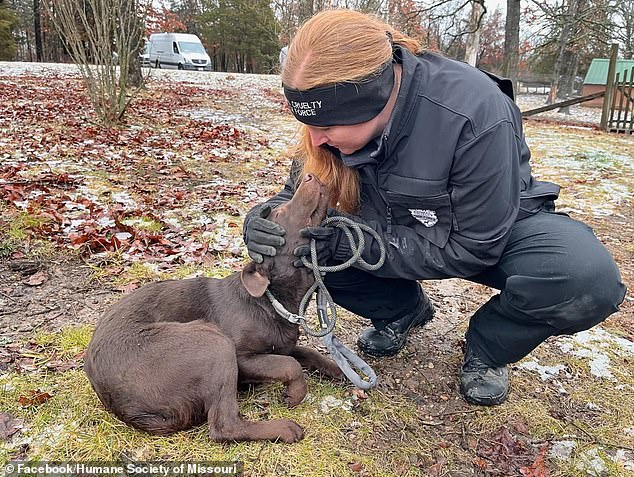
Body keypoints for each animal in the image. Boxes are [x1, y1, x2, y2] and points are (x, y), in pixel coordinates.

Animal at [85, 175, 340, 442]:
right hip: (214, 343)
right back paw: (284, 429)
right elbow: (289, 364)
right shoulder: (242, 359)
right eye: (280, 212)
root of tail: (122, 409)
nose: (310, 176)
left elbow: (306, 353)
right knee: (224, 425)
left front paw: (340, 370)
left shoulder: (283, 345)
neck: (270, 301)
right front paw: (295, 393)